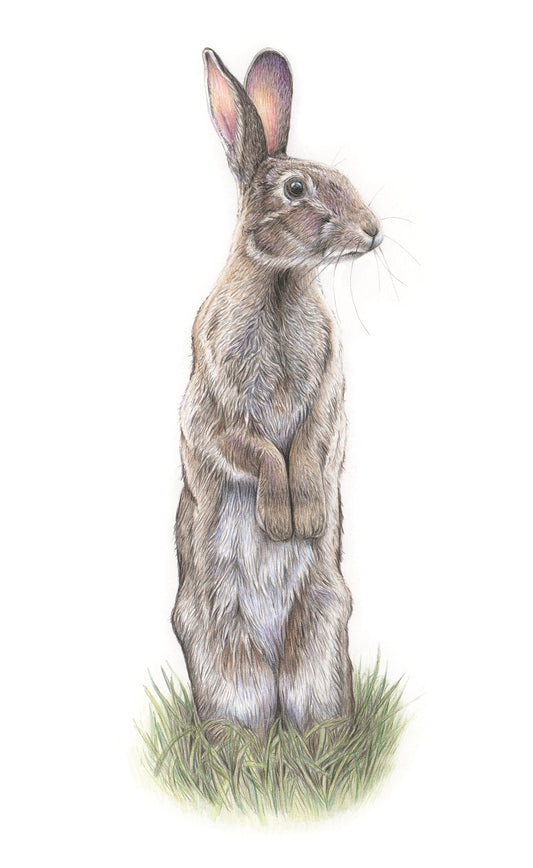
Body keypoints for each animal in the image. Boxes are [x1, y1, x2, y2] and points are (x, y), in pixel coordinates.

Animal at [172, 48, 383, 739]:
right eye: (296, 189)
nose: (372, 232)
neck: (280, 282)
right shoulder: (212, 405)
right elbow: (254, 449)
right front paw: (280, 518)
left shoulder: (328, 396)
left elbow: (312, 444)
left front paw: (307, 517)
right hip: (221, 651)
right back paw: (243, 746)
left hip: (323, 631)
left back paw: (321, 739)